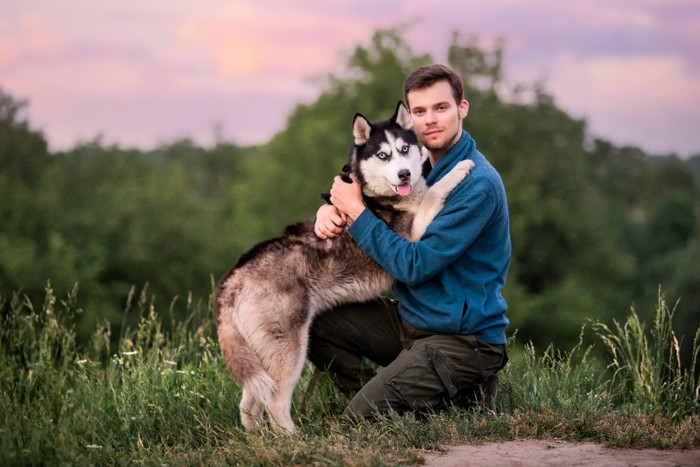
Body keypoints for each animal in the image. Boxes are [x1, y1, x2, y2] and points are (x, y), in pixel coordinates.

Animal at [216, 102, 474, 436]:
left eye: (404, 149)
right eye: (383, 155)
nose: (404, 173)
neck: (379, 196)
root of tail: (235, 277)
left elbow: (427, 187)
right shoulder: (412, 237)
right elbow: (433, 191)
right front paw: (459, 169)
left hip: (261, 354)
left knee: (250, 402)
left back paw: (258, 439)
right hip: (289, 349)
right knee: (275, 404)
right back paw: (293, 439)